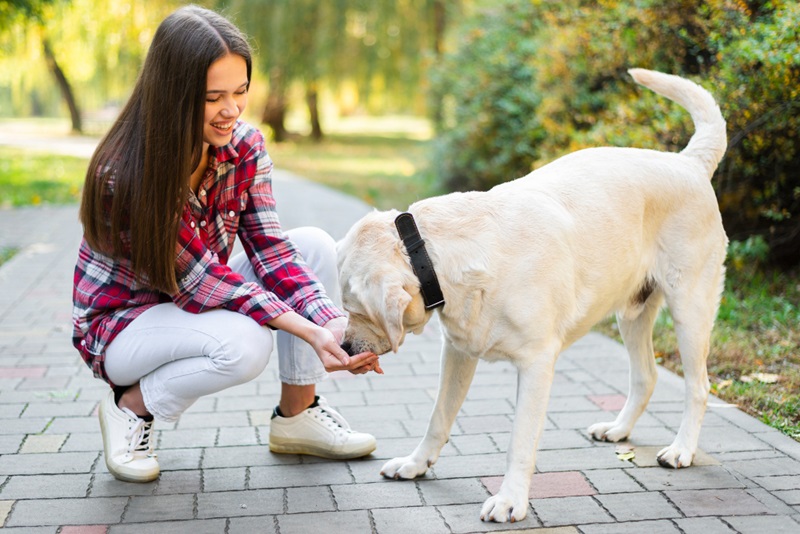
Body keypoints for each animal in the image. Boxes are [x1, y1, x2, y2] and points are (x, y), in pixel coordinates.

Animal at [334, 69, 728, 524]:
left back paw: (681, 449)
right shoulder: (458, 351)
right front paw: (416, 464)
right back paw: (618, 429)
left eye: (354, 308)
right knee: (645, 376)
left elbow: (519, 442)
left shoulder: (537, 362)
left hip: (690, 307)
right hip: (632, 312)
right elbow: (439, 416)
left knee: (698, 386)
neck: (435, 253)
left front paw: (510, 500)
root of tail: (688, 162)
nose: (345, 347)